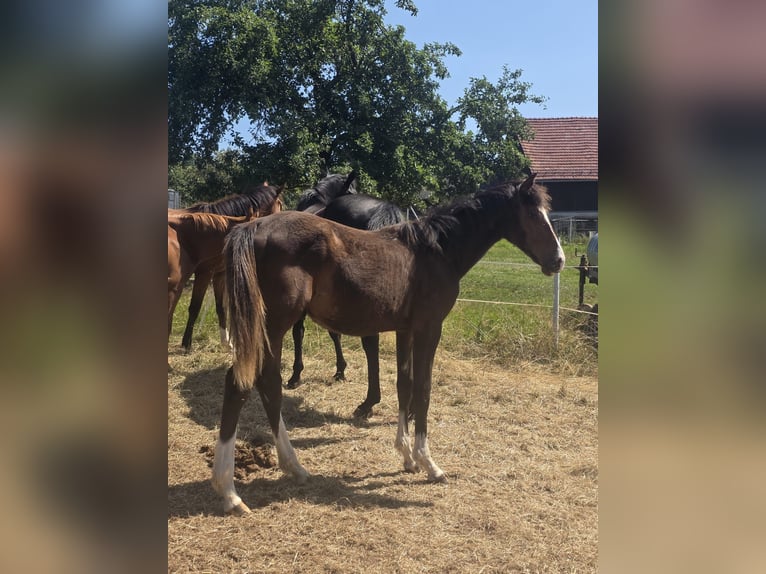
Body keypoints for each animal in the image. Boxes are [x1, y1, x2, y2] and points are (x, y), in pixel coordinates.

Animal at [174, 184, 284, 351]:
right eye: (280, 204)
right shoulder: (204, 273)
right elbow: (195, 307)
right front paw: (187, 343)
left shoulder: (219, 275)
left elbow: (221, 307)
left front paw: (227, 342)